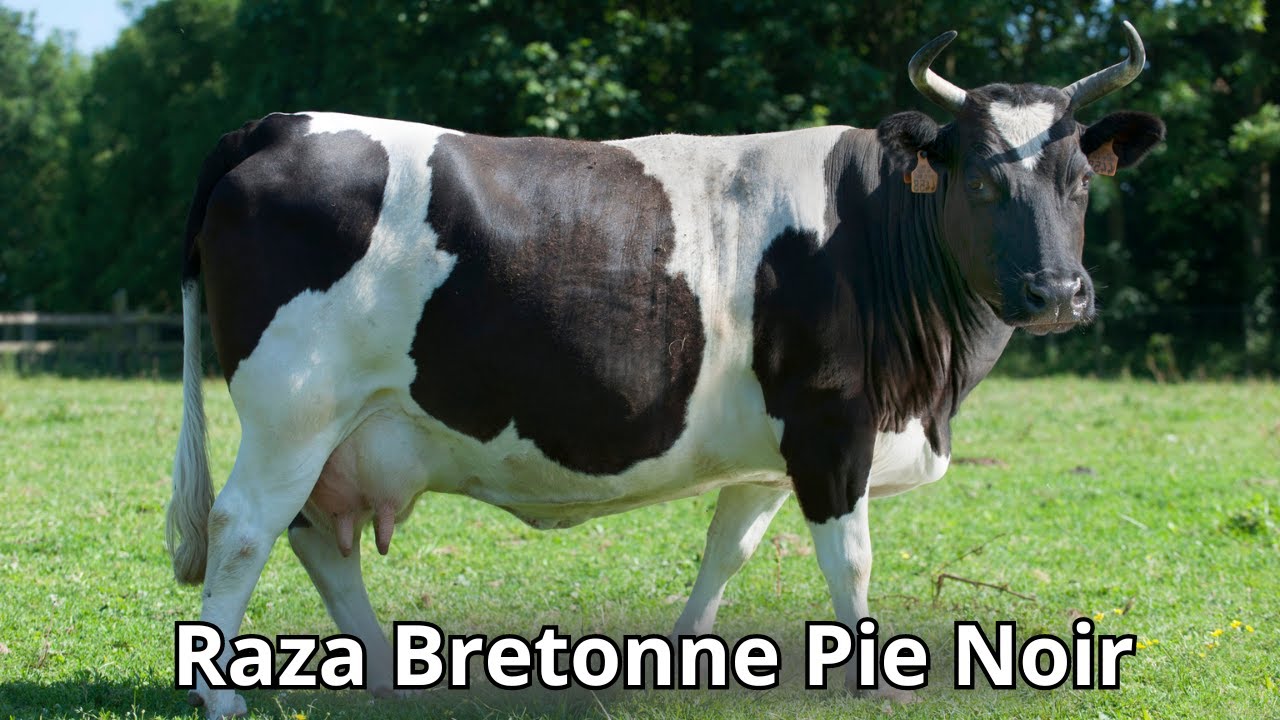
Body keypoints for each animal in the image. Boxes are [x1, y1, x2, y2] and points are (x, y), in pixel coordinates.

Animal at [167, 23, 1164, 717]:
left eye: (1080, 180)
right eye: (984, 181)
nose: (1057, 290)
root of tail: (278, 124)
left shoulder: (774, 454)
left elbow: (728, 549)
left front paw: (690, 659)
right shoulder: (832, 427)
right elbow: (851, 561)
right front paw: (877, 682)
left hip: (336, 432)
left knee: (315, 540)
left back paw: (383, 672)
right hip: (293, 411)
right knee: (244, 528)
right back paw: (223, 694)